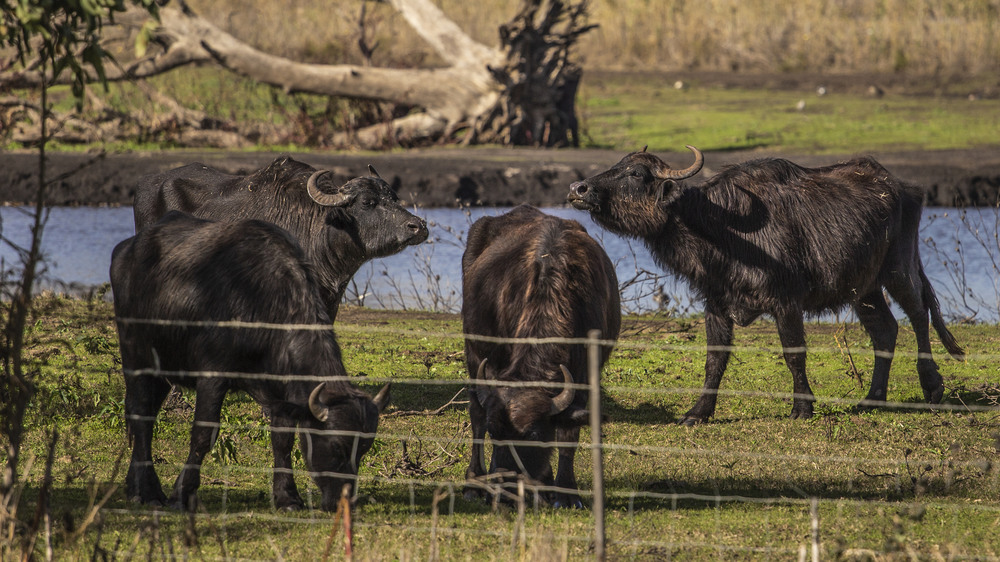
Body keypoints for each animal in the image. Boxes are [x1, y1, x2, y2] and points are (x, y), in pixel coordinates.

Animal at [110, 211, 390, 512]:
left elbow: (283, 440)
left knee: (147, 416)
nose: (343, 500)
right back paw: (148, 491)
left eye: (363, 451)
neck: (259, 301)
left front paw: (288, 497)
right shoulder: (213, 376)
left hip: (164, 367)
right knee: (139, 413)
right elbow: (203, 435)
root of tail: (126, 249)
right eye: (337, 445)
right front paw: (181, 494)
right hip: (135, 352)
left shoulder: (281, 392)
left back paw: (136, 486)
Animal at [460, 203, 616, 506]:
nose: (506, 491)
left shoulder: (584, 374)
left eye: (532, 434)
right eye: (496, 433)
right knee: (475, 413)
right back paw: (474, 482)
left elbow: (568, 434)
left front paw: (565, 491)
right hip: (473, 352)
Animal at [568, 147, 964, 422]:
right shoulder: (715, 304)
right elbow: (714, 360)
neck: (720, 228)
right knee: (885, 330)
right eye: (618, 164)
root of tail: (903, 187)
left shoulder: (785, 302)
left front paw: (802, 407)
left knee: (919, 315)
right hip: (863, 288)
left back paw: (932, 386)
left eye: (635, 173)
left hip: (899, 269)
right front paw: (698, 411)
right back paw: (872, 398)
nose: (578, 188)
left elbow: (794, 353)